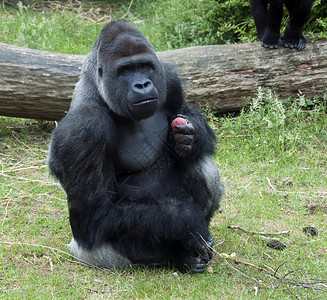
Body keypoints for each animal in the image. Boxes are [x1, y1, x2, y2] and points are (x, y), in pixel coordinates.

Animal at [47, 19, 224, 274]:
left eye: (145, 66)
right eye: (125, 70)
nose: (142, 84)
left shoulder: (169, 78)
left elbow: (184, 113)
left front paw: (192, 136)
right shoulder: (82, 130)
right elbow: (97, 216)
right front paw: (186, 218)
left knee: (201, 165)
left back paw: (187, 257)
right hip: (90, 253)